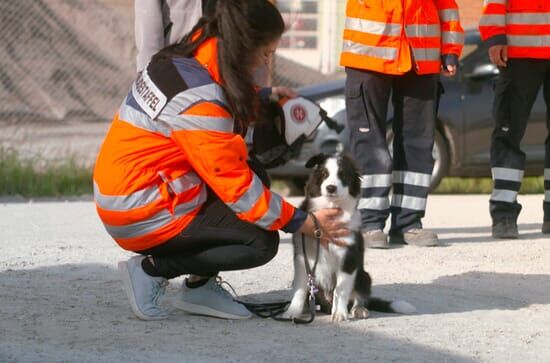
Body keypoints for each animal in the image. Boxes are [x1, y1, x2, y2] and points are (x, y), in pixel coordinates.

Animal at [284, 153, 418, 322]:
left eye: (342, 175)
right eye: (324, 174)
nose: (331, 188)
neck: (331, 207)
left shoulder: (348, 258)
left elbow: (341, 289)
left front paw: (340, 314)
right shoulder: (303, 256)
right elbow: (300, 288)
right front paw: (293, 311)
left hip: (363, 276)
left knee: (360, 295)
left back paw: (358, 309)